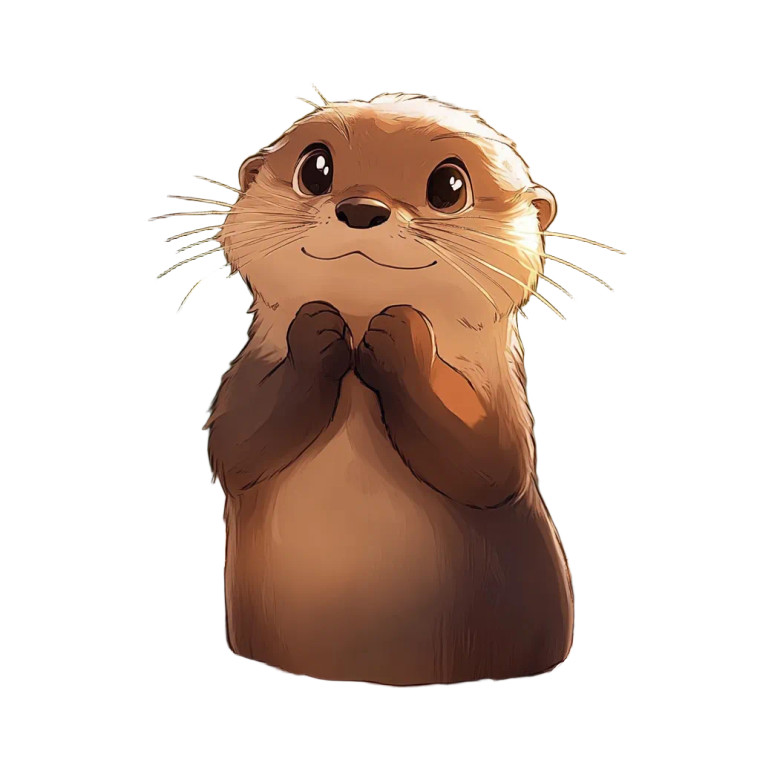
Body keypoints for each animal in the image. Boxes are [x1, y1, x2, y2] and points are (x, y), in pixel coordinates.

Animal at [202, 93, 574, 685]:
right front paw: (318, 327)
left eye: (449, 185)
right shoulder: (241, 377)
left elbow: (493, 465)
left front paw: (399, 334)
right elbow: (235, 447)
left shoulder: (505, 406)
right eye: (316, 168)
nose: (362, 208)